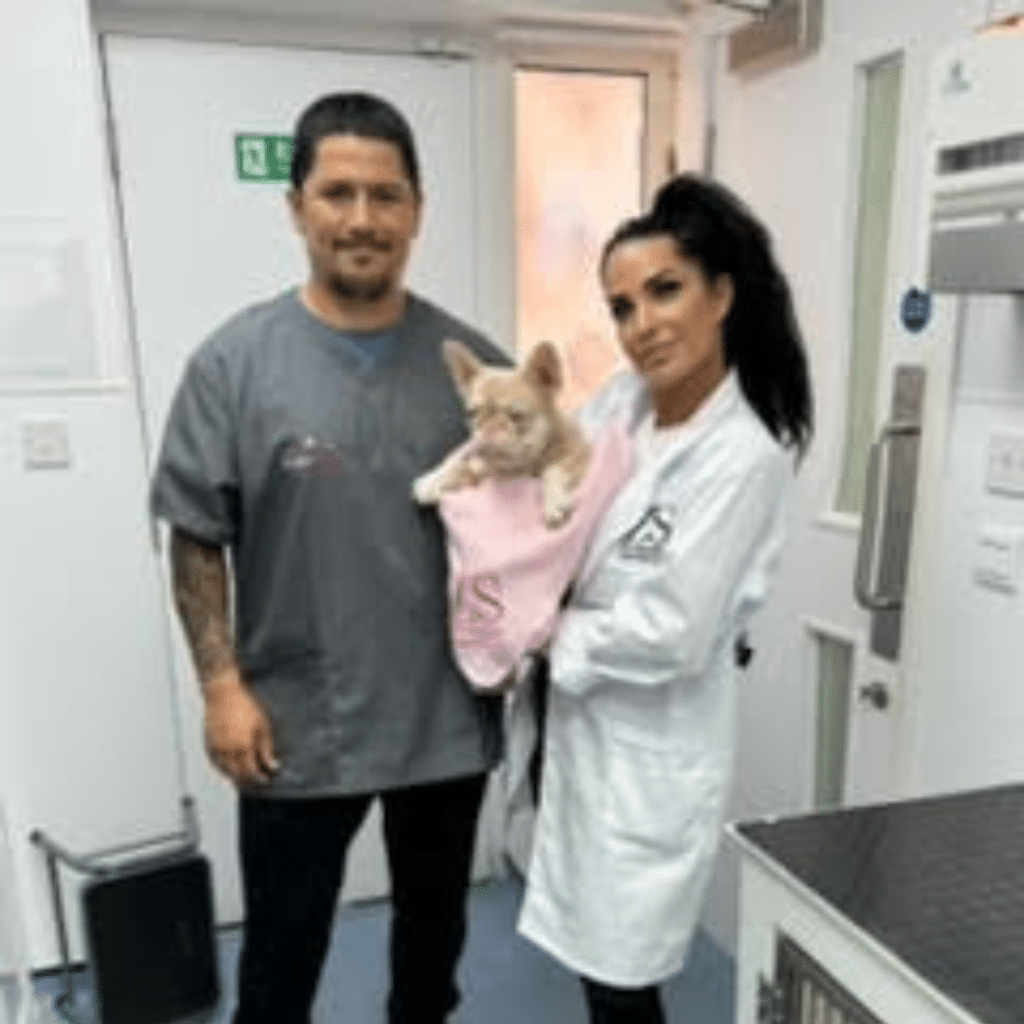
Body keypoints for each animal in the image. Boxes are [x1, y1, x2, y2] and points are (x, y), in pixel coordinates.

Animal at [412, 339, 591, 527]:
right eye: (471, 413)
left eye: (517, 416)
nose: (488, 432)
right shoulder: (479, 465)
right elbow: (459, 461)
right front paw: (432, 481)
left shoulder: (580, 452)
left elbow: (553, 470)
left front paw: (554, 501)